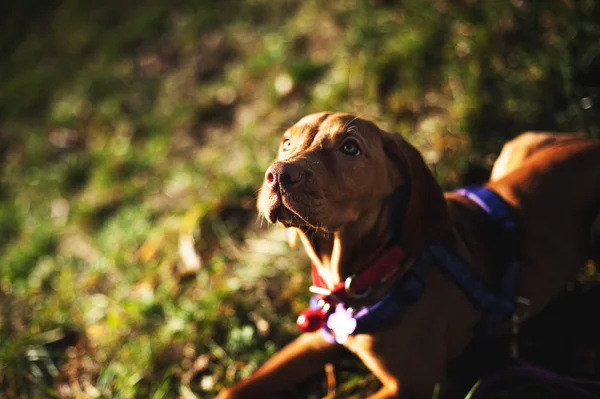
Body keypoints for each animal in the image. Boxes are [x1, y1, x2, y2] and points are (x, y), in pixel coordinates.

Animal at [218, 114, 600, 398]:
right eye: (287, 142)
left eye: (350, 148)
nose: (278, 174)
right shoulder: (316, 338)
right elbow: (233, 389)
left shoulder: (414, 384)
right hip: (515, 149)